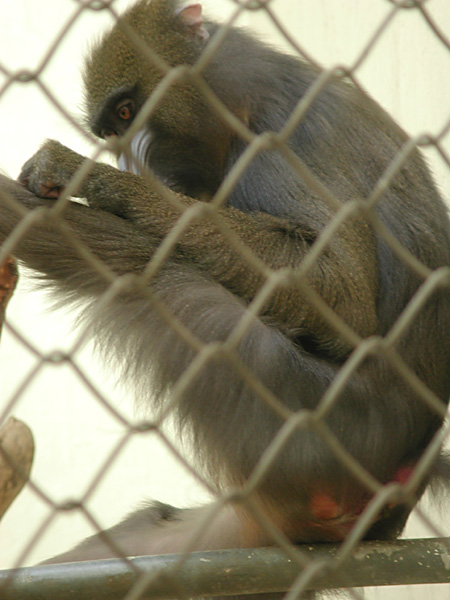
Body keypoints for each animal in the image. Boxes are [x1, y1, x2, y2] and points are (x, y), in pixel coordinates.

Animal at [0, 0, 450, 596]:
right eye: (114, 126)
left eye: (128, 112)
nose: (127, 163)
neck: (238, 99)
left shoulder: (277, 138)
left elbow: (345, 296)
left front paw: (89, 176)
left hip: (310, 424)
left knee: (148, 269)